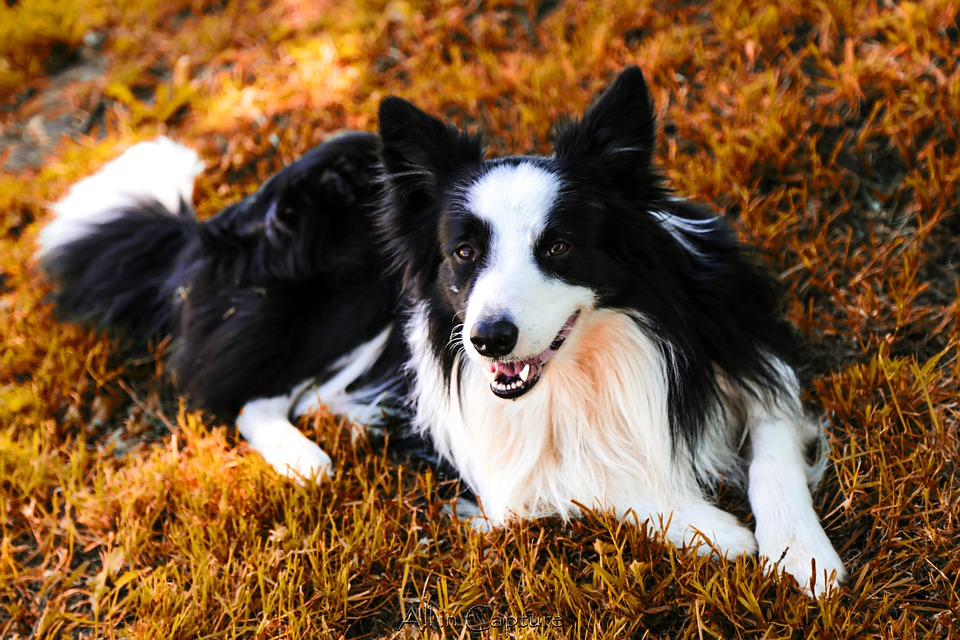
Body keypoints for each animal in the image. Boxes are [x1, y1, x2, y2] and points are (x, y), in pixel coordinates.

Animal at [37, 66, 844, 596]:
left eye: (559, 246)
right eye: (464, 253)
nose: (488, 339)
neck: (600, 354)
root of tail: (212, 228)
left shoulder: (746, 350)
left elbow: (772, 451)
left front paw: (802, 554)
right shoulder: (507, 466)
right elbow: (593, 481)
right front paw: (716, 531)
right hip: (353, 296)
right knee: (254, 396)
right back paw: (308, 460)